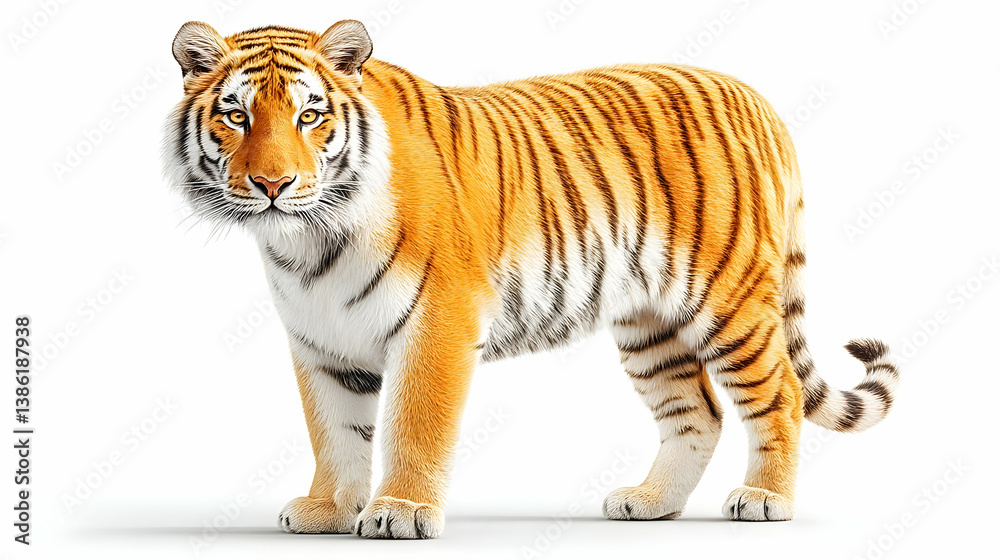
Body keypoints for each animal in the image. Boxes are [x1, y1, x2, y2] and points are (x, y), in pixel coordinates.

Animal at [163, 20, 900, 539]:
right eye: (236, 115)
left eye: (309, 116)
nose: (274, 184)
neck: (307, 238)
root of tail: (755, 97)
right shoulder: (320, 342)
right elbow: (335, 433)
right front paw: (328, 511)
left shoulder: (437, 323)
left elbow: (414, 425)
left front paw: (400, 512)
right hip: (650, 326)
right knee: (699, 412)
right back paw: (650, 502)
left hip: (730, 300)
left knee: (778, 393)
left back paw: (765, 499)